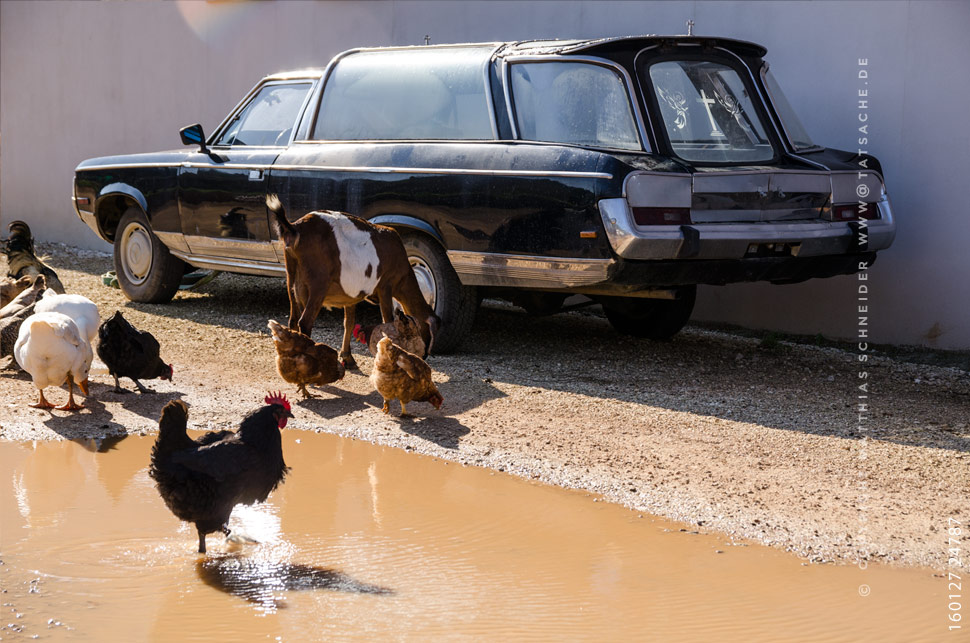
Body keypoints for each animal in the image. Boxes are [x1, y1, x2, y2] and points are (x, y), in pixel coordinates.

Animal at [266, 194, 436, 370]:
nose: (425, 355)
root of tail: (294, 228)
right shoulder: (385, 286)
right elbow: (387, 320)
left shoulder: (350, 295)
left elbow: (349, 322)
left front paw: (347, 357)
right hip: (318, 283)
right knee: (305, 321)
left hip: (291, 278)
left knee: (293, 319)